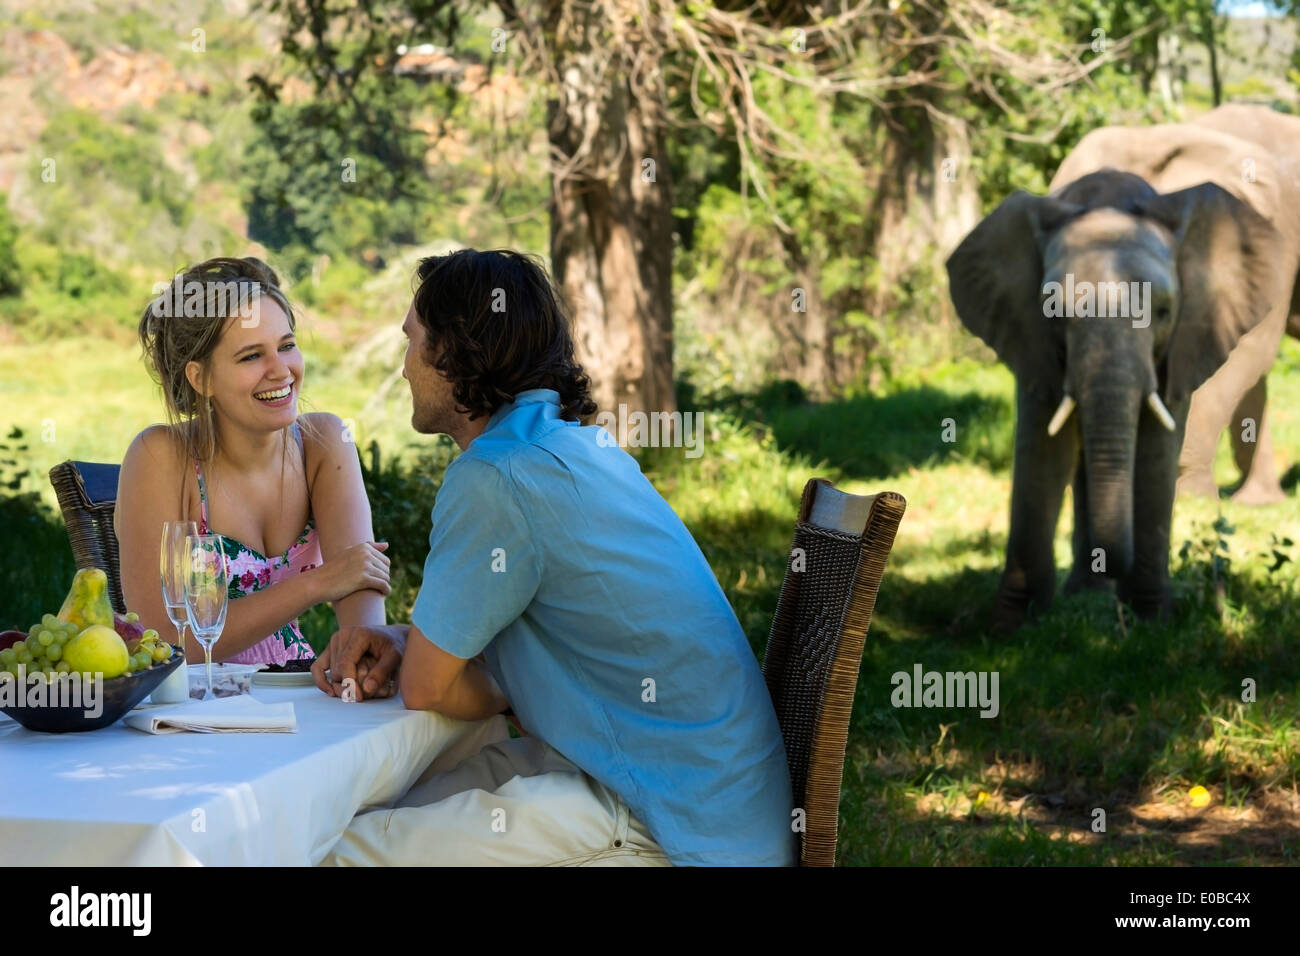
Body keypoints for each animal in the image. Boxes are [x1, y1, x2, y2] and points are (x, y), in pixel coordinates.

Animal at [946, 113, 1289, 634]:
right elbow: (1042, 447)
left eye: (1164, 311)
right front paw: (1010, 627)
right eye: (1054, 312)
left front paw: (1151, 622)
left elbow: (1156, 446)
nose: (1114, 565)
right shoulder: (1028, 331)